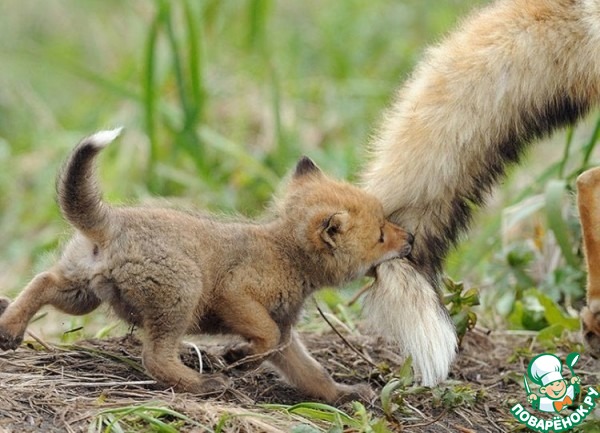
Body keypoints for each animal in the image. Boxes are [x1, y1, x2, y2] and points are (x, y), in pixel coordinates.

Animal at [0, 129, 414, 403]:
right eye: (381, 235)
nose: (410, 238)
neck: (285, 254)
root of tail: (112, 221)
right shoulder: (237, 295)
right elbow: (263, 337)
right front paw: (236, 360)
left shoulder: (285, 334)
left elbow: (312, 375)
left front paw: (344, 394)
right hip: (182, 294)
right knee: (155, 358)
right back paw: (203, 386)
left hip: (81, 292)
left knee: (42, 280)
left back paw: (9, 328)